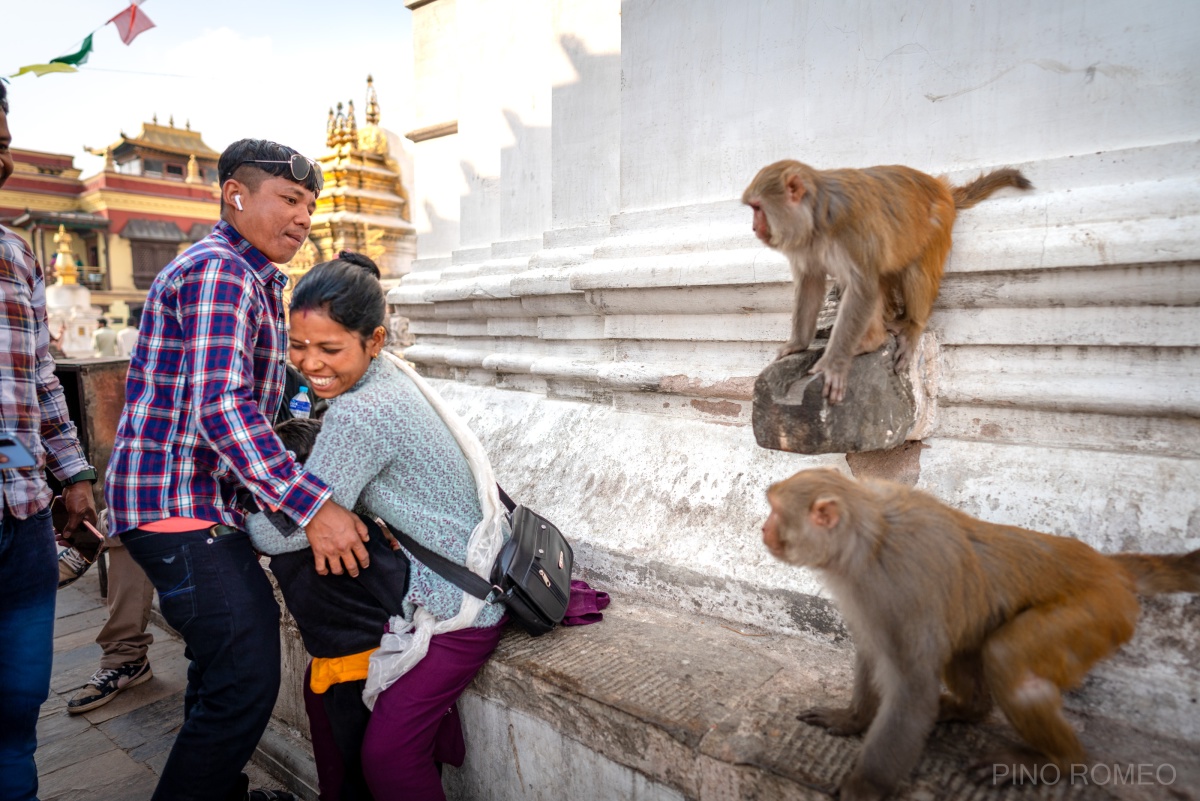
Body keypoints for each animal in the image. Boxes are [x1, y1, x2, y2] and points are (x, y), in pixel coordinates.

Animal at [739, 160, 1032, 402]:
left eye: (757, 208)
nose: (753, 228)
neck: (816, 219)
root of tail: (940, 187)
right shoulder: (803, 245)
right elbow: (812, 282)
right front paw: (798, 344)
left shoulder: (852, 230)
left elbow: (863, 289)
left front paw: (834, 364)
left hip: (936, 223)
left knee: (912, 271)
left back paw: (902, 329)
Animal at [763, 470, 1195, 801]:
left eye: (776, 511)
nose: (762, 527)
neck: (872, 538)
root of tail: (1107, 567)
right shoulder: (867, 596)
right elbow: (873, 649)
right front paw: (852, 718)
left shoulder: (899, 589)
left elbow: (911, 690)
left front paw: (864, 787)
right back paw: (967, 709)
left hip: (1097, 613)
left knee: (1007, 656)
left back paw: (1059, 761)